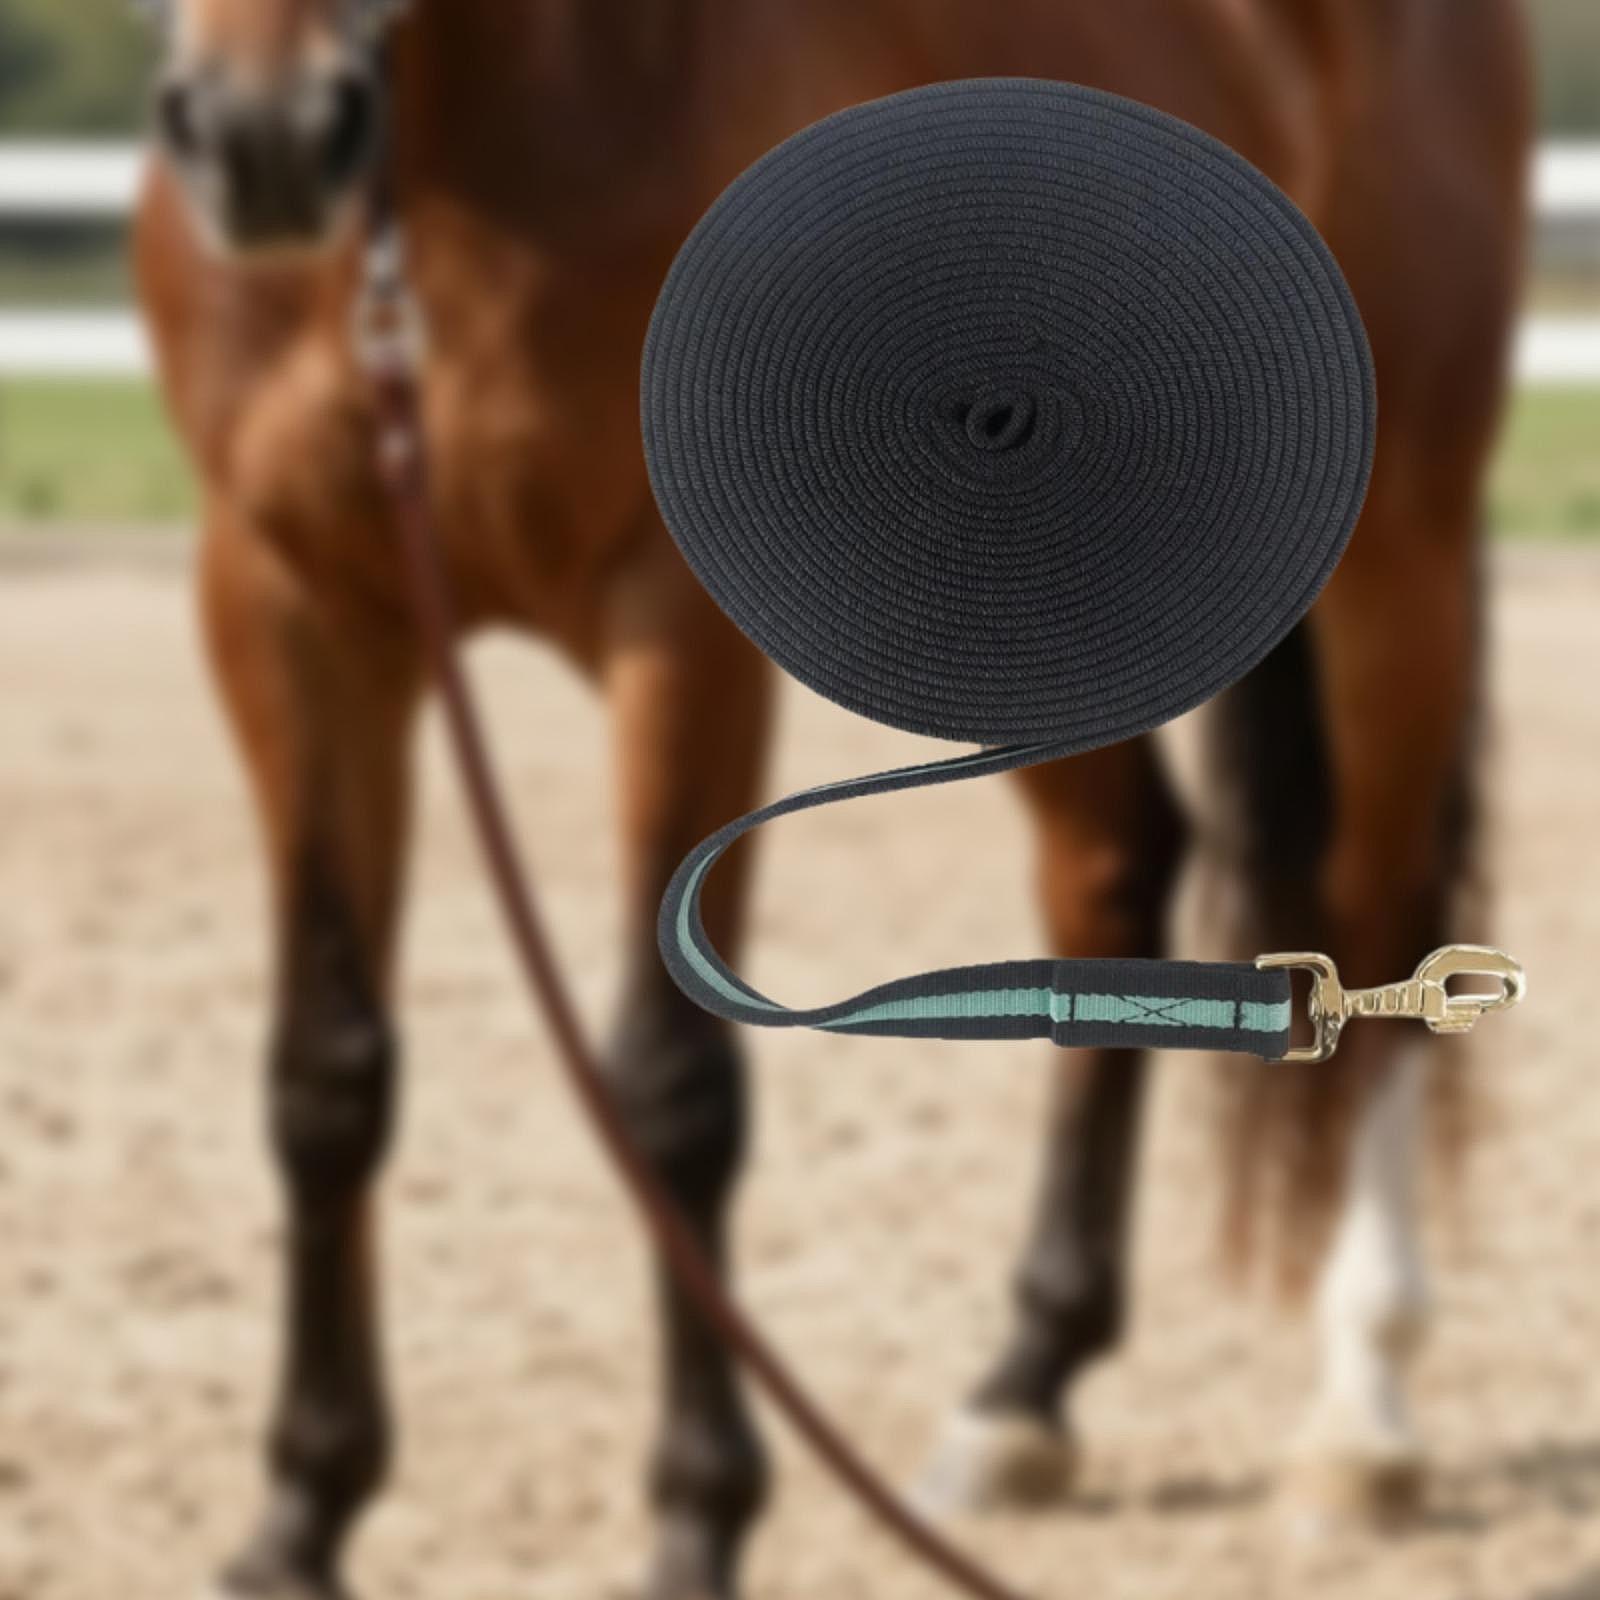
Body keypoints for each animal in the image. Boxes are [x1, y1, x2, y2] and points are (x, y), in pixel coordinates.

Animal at [131, 1, 1530, 1595]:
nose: (262, 138)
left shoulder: (671, 629)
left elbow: (668, 1084)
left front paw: (697, 1520)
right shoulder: (287, 610)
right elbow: (324, 1075)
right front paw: (299, 1518)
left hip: (1397, 553)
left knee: (1381, 928)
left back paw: (1361, 1421)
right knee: (1117, 869)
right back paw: (1021, 1397)